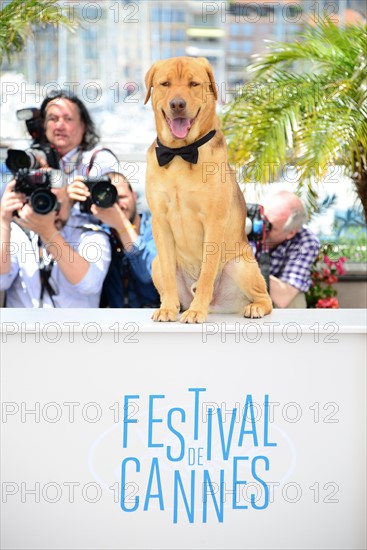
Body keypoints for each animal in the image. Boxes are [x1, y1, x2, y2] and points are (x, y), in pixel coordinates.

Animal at [145, 55, 272, 322]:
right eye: (165, 83)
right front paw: (168, 308)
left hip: (241, 265)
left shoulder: (214, 222)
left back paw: (254, 307)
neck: (181, 153)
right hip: (155, 263)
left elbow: (206, 274)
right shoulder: (160, 222)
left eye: (193, 84)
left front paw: (196, 311)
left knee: (265, 297)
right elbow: (170, 278)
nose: (177, 104)